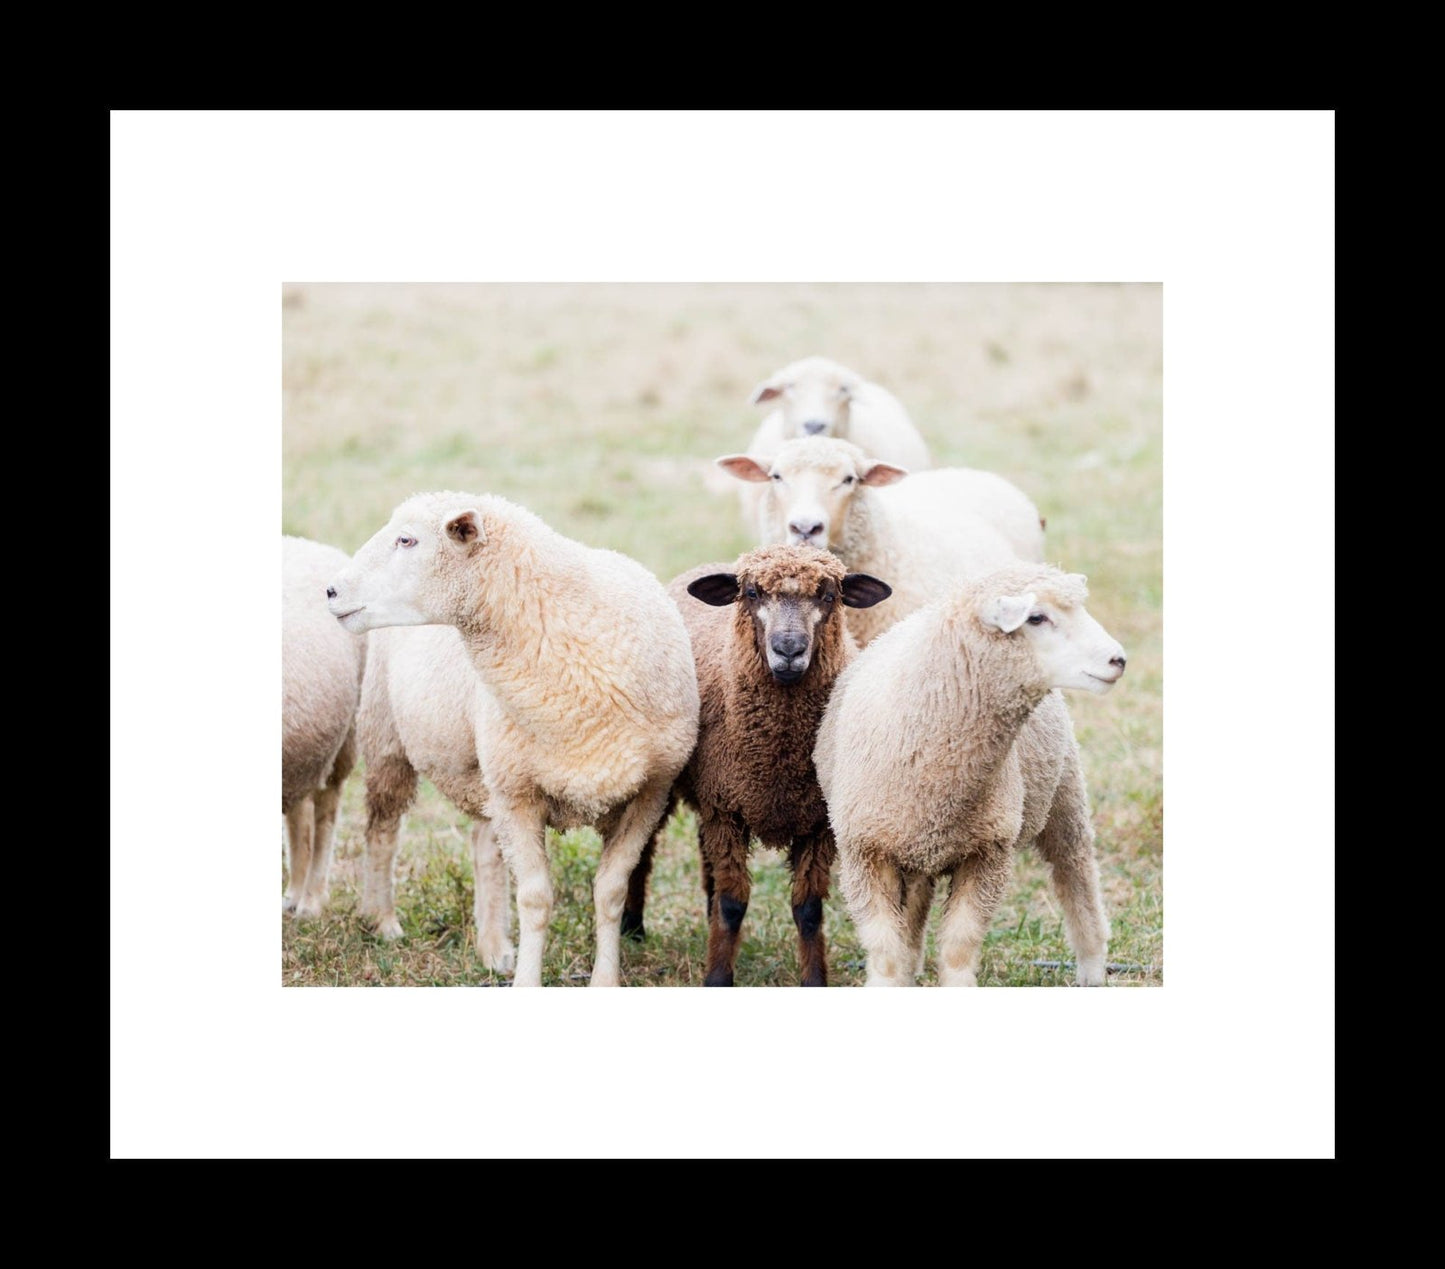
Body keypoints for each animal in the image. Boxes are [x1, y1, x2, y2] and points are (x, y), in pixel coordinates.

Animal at [621, 545, 891, 986]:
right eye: (751, 592)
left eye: (829, 595)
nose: (789, 650)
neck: (779, 757)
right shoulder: (727, 810)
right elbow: (733, 904)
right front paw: (717, 977)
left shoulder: (816, 821)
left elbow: (809, 910)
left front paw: (814, 980)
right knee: (642, 851)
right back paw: (632, 927)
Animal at [813, 561, 1127, 987]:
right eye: (1036, 617)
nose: (1118, 660)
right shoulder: (864, 851)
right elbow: (886, 949)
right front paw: (891, 980)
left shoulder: (989, 851)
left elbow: (960, 945)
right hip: (917, 844)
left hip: (1065, 793)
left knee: (1077, 877)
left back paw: (1092, 969)